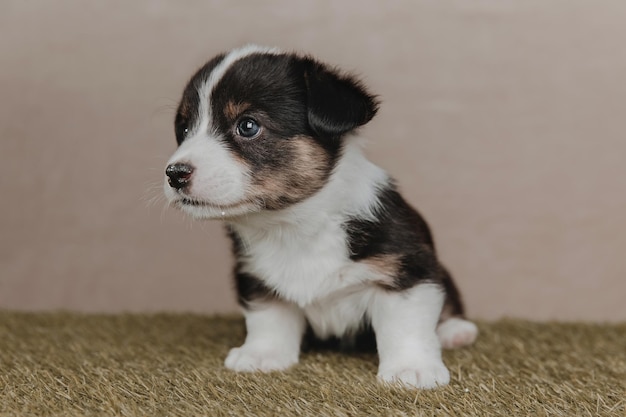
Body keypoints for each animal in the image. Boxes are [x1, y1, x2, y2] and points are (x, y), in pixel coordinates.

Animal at [163, 45, 476, 386]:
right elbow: (269, 318)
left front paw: (412, 369)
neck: (294, 224)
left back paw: (456, 331)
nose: (174, 174)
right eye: (184, 129)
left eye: (247, 126)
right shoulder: (255, 277)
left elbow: (405, 325)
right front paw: (261, 355)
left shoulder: (408, 270)